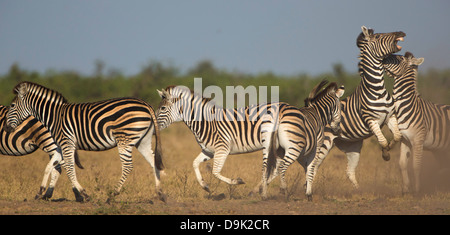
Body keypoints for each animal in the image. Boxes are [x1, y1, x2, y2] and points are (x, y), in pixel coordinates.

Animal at [3, 81, 165, 203]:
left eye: (12, 106)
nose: (5, 127)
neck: (54, 116)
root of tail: (146, 104)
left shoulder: (67, 143)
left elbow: (69, 168)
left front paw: (83, 194)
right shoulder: (60, 146)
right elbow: (49, 166)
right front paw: (40, 192)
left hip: (124, 139)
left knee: (128, 166)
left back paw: (112, 195)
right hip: (142, 141)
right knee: (153, 161)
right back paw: (160, 193)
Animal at [306, 26, 404, 189]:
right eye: (377, 37)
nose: (401, 33)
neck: (378, 89)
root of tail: (313, 108)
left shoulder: (390, 117)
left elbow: (396, 137)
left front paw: (387, 152)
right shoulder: (371, 120)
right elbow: (383, 140)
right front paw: (386, 154)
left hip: (352, 147)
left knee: (349, 171)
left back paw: (358, 190)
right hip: (324, 143)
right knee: (313, 165)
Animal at [384, 52, 450, 194]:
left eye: (399, 58)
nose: (383, 58)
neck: (405, 105)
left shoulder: (418, 140)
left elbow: (416, 166)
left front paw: (417, 191)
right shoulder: (405, 139)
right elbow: (402, 164)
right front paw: (405, 190)